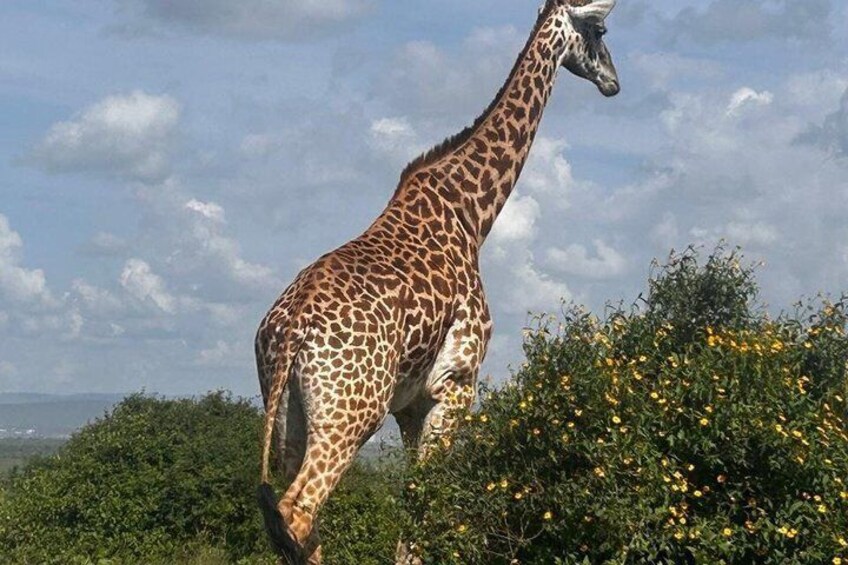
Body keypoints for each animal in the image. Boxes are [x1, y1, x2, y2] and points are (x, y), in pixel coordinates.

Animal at [255, 1, 620, 562]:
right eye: (599, 29)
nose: (613, 82)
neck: (472, 214)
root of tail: (289, 330)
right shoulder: (456, 382)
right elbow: (431, 500)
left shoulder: (411, 403)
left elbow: (414, 499)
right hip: (351, 412)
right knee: (298, 511)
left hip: (287, 413)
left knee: (289, 520)